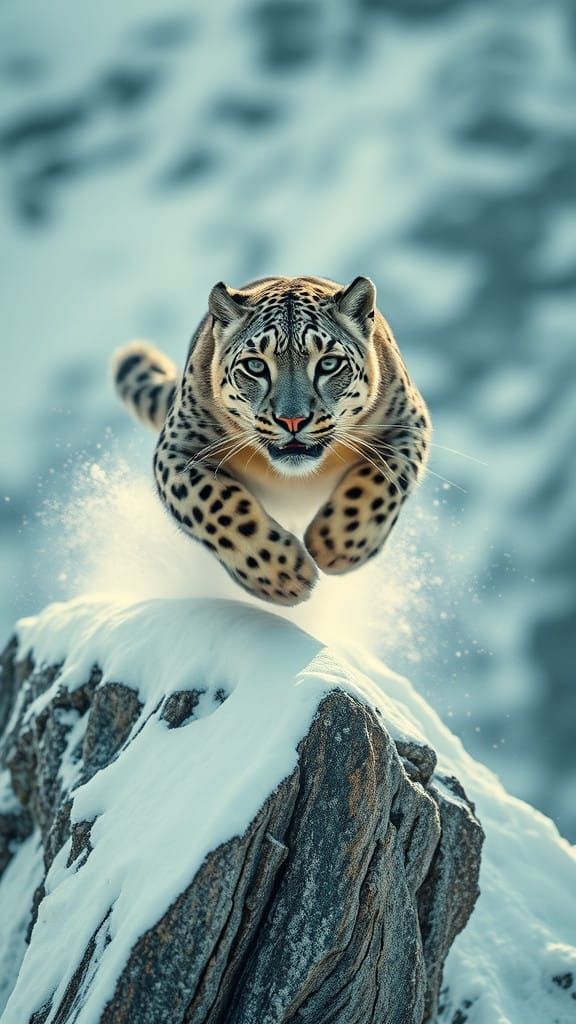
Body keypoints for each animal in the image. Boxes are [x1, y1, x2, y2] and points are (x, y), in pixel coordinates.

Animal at [111, 275, 431, 606]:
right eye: (255, 366)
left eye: (329, 364)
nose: (292, 420)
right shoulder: (178, 449)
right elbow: (217, 506)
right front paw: (284, 575)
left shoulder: (406, 425)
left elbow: (379, 483)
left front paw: (335, 544)